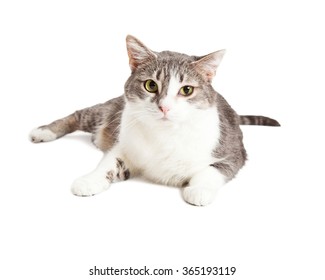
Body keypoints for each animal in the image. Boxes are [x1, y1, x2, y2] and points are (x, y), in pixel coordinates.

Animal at [29, 34, 278, 206]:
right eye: (150, 85)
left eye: (187, 90)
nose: (164, 107)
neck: (165, 134)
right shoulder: (126, 146)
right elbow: (108, 164)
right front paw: (89, 180)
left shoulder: (233, 151)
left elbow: (212, 170)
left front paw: (198, 190)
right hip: (107, 112)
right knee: (78, 114)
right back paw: (43, 131)